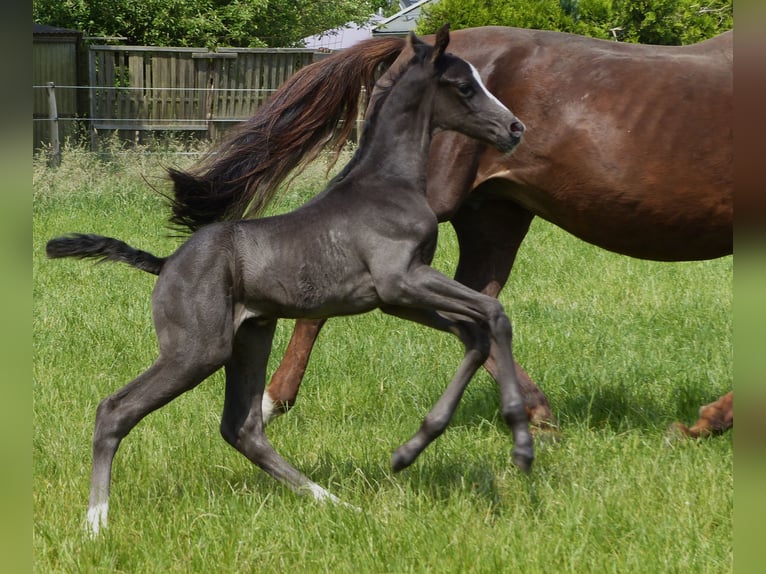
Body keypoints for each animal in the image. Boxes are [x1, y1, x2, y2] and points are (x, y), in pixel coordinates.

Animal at [45, 25, 532, 540]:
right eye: (464, 86)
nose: (515, 129)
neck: (388, 185)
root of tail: (166, 263)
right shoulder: (402, 281)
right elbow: (495, 314)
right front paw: (521, 445)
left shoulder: (400, 300)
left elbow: (475, 334)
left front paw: (410, 449)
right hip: (197, 351)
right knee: (115, 410)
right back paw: (96, 521)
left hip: (251, 337)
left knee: (242, 429)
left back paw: (336, 502)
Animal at [170, 25, 736, 436]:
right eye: (464, 86)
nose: (515, 127)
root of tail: (407, 44)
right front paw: (705, 423)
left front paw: (708, 421)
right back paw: (271, 402)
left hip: (496, 215)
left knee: (478, 305)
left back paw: (537, 413)